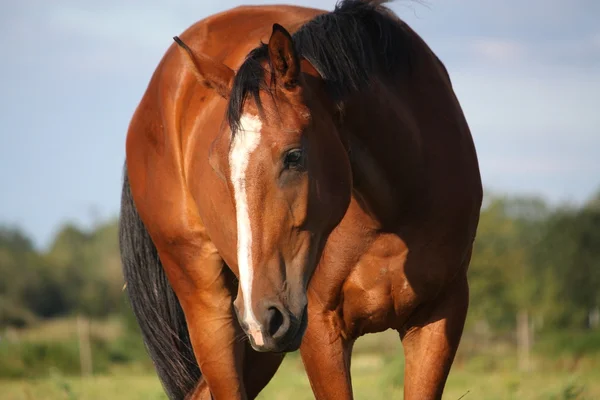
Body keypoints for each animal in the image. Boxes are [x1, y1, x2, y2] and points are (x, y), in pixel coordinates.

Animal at [118, 0, 482, 400]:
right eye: (215, 165)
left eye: (294, 155)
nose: (260, 315)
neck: (393, 210)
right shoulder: (320, 329)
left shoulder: (440, 316)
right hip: (216, 311)